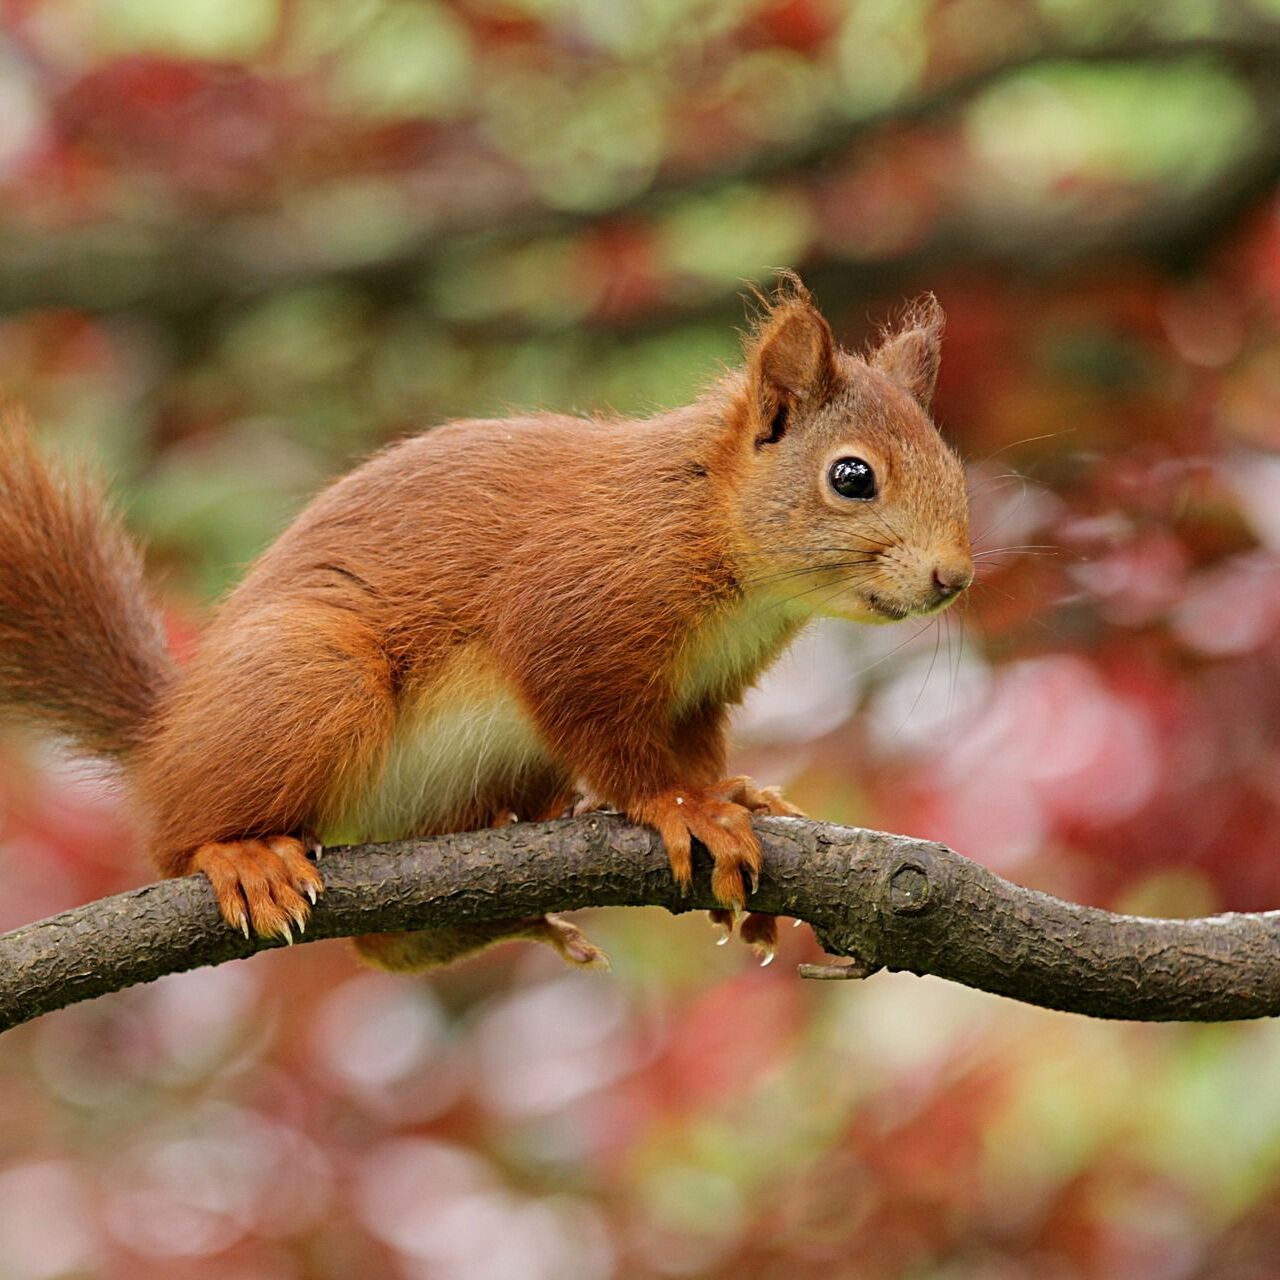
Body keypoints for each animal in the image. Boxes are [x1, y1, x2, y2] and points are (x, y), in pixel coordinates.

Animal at [0, 275, 967, 962]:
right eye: (851, 476)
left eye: (953, 463)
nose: (952, 577)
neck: (712, 527)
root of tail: (167, 733)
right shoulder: (574, 610)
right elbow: (605, 732)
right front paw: (682, 807)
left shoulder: (701, 691)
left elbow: (694, 745)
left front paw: (732, 793)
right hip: (310, 678)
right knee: (175, 838)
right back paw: (240, 854)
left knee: (383, 948)